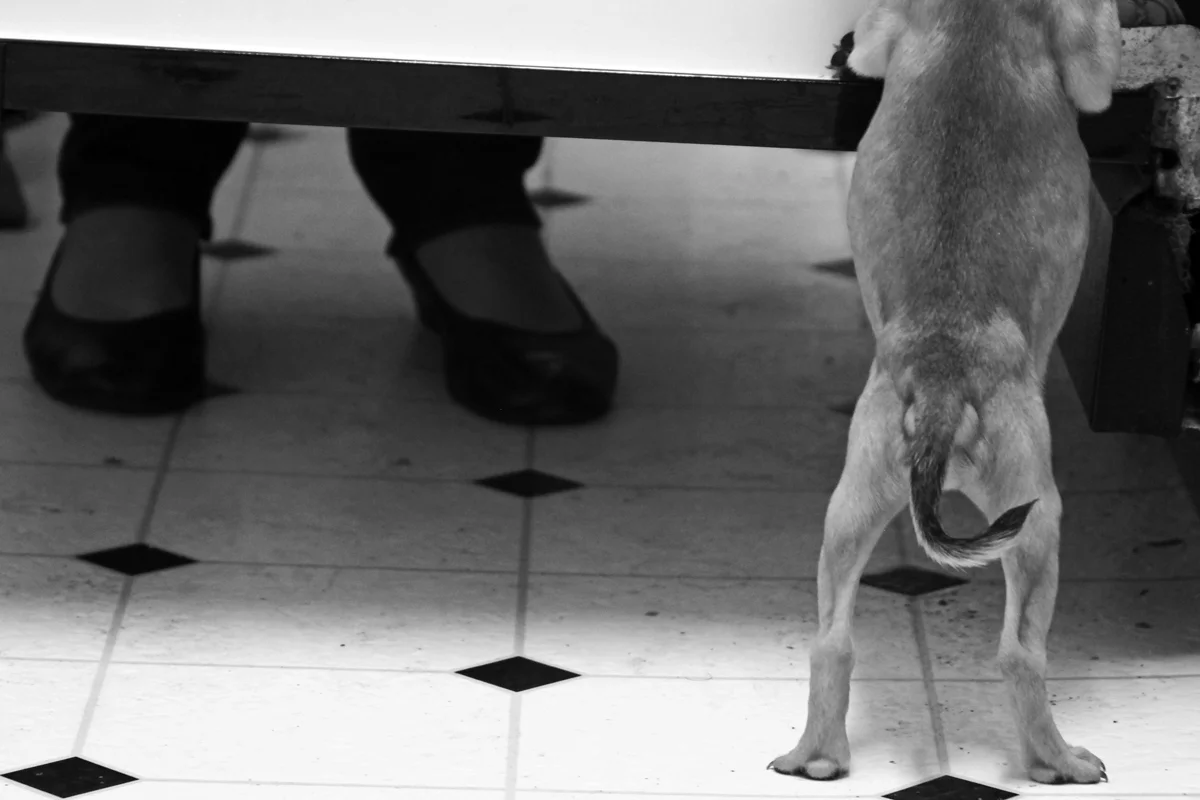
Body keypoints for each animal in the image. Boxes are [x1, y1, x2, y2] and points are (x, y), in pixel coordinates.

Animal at [768, 0, 1123, 786]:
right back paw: (1060, 762)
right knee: (1020, 654)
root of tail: (941, 383)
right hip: (1037, 518)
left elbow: (866, 51)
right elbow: (1102, 76)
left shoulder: (882, 32)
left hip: (851, 505)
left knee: (831, 642)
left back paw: (816, 756)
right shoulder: (1088, 55)